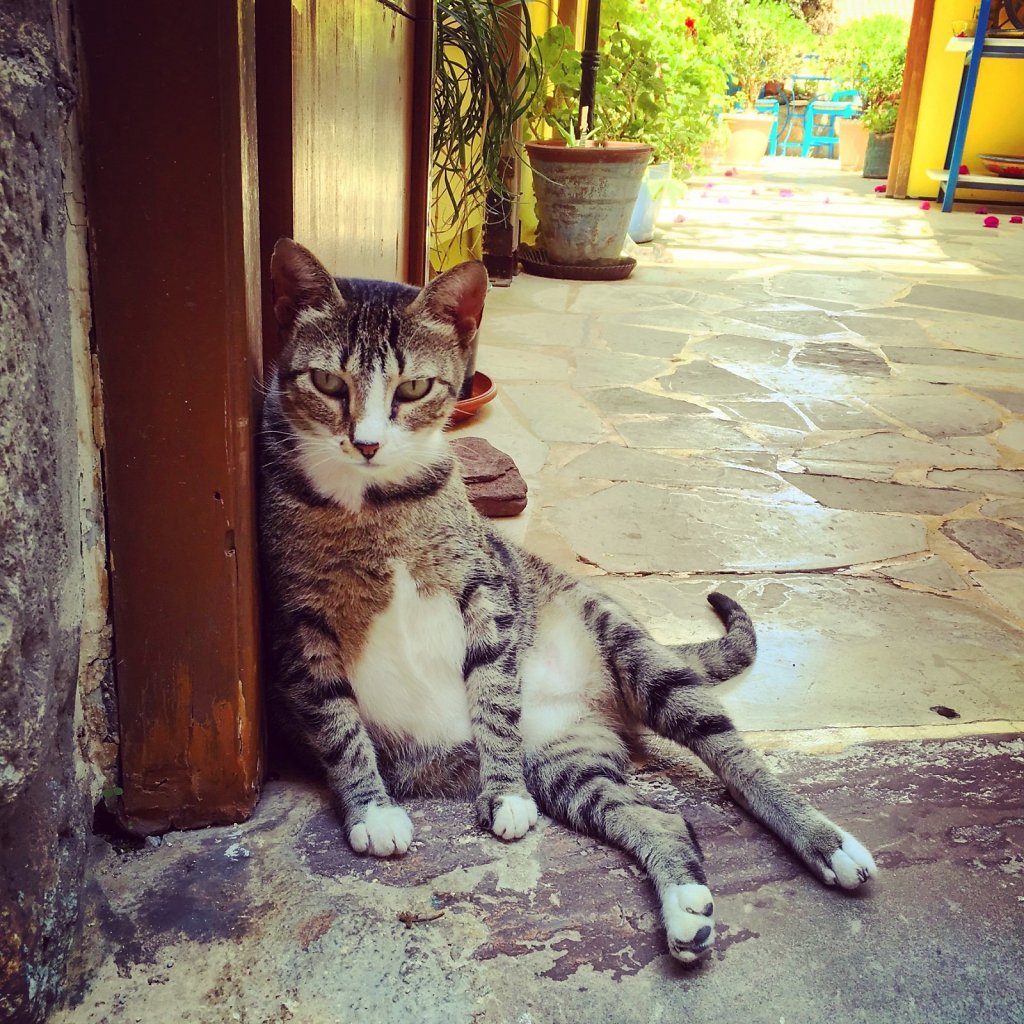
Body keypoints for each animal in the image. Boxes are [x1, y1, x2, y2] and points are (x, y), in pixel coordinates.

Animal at [260, 235, 876, 962]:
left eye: (413, 388)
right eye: (329, 383)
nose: (367, 443)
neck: (374, 506)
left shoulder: (485, 592)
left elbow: (494, 698)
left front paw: (501, 794)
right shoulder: (299, 625)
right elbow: (338, 724)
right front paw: (374, 810)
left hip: (627, 647)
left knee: (736, 758)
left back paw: (825, 842)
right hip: (568, 762)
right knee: (660, 819)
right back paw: (686, 908)